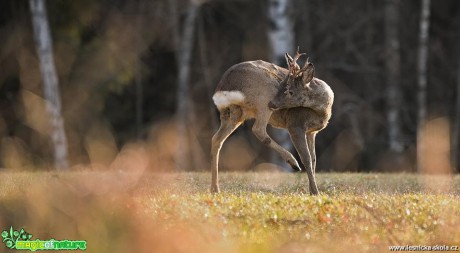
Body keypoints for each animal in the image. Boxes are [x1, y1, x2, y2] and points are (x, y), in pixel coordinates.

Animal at [210, 50, 332, 195]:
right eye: (281, 86)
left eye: (290, 91)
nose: (272, 103)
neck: (323, 109)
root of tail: (224, 86)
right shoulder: (295, 124)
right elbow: (306, 158)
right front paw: (314, 192)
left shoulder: (312, 132)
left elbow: (313, 159)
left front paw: (311, 189)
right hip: (263, 97)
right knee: (258, 129)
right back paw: (293, 162)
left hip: (233, 114)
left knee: (216, 139)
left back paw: (215, 188)